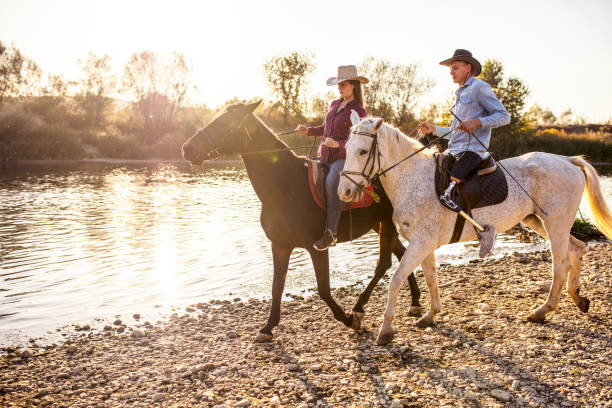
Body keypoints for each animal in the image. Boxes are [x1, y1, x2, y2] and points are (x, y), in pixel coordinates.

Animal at [182, 101, 420, 342]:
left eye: (225, 122)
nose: (187, 148)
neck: (286, 186)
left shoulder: (317, 247)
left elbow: (323, 289)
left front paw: (350, 321)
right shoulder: (279, 245)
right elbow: (277, 286)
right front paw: (267, 327)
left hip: (386, 222)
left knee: (385, 263)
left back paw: (360, 306)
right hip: (377, 223)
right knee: (401, 254)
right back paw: (415, 301)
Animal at [338, 113, 612, 346]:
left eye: (363, 151)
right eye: (346, 149)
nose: (345, 192)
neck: (413, 180)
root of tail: (566, 160)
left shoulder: (420, 243)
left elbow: (396, 280)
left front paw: (386, 330)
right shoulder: (424, 243)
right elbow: (431, 277)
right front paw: (431, 315)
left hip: (555, 223)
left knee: (561, 264)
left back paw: (543, 310)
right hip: (538, 221)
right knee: (578, 249)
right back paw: (578, 298)